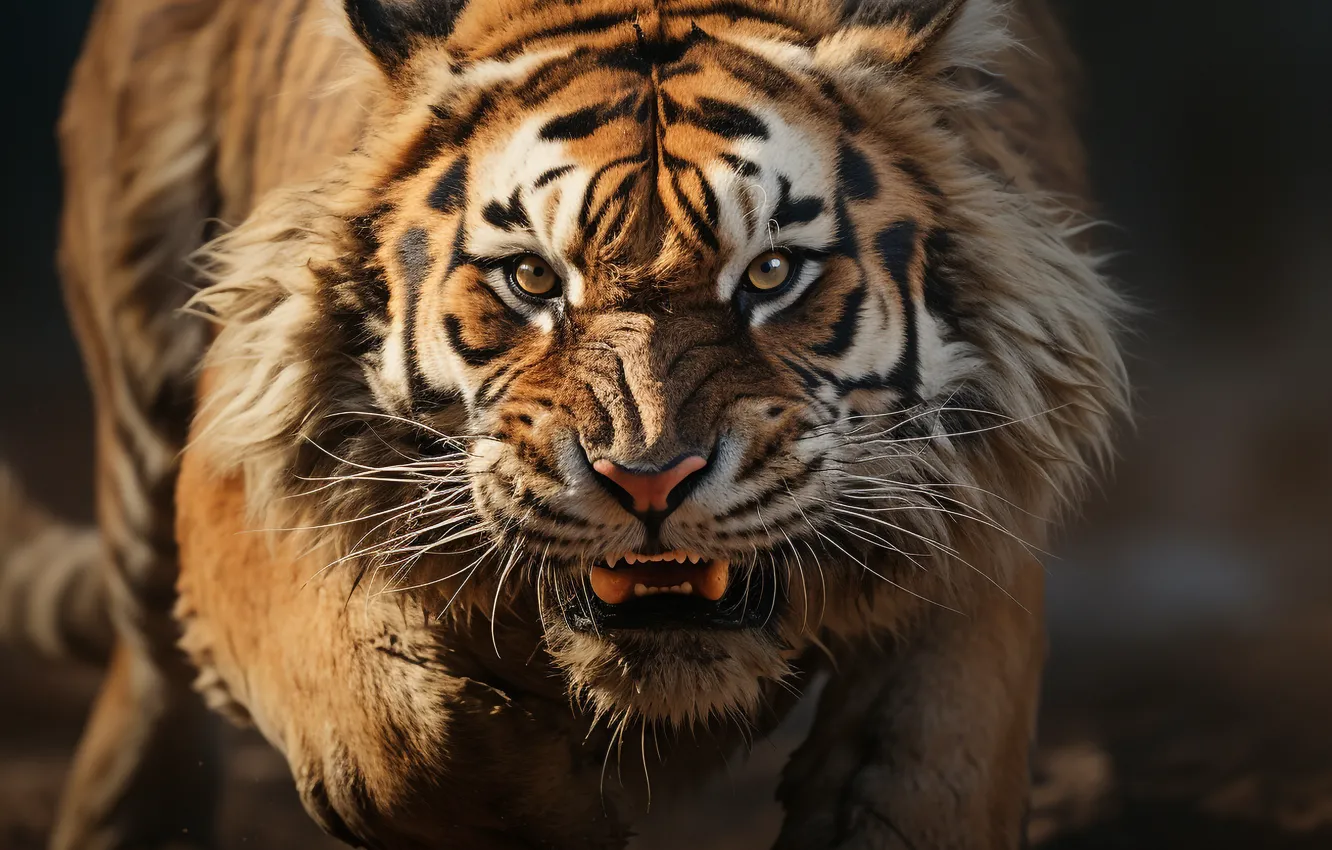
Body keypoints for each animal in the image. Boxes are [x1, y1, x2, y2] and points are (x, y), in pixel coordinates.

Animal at [0, 0, 1127, 847]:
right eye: (534, 280)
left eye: (770, 273)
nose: (649, 479)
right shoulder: (247, 451)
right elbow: (383, 725)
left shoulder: (982, 516)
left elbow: (925, 767)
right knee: (151, 667)